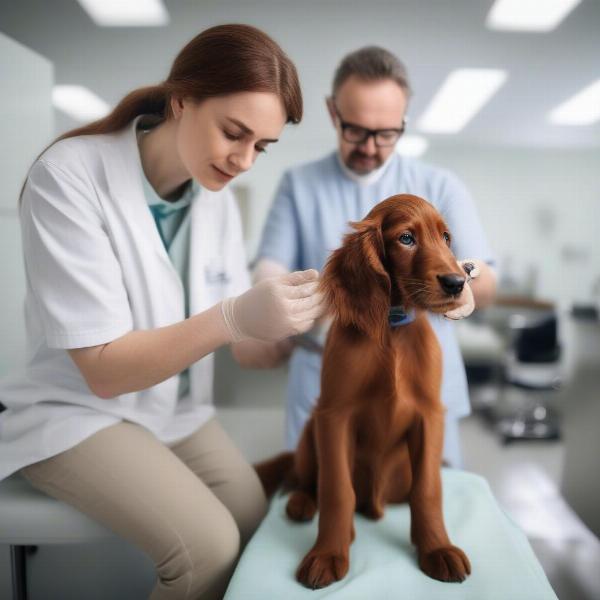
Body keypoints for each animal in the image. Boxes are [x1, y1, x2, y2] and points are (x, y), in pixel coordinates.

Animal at [255, 195, 472, 588]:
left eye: (446, 238)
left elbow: (428, 488)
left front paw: (437, 549)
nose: (456, 282)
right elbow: (337, 489)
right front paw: (327, 554)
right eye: (406, 238)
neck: (392, 328)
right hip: (309, 433)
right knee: (304, 479)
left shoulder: (430, 415)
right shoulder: (333, 415)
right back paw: (302, 504)